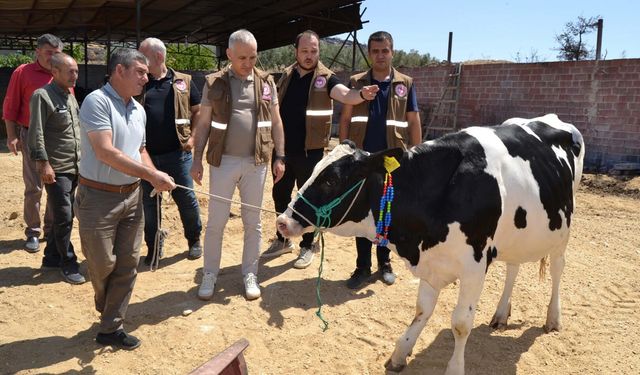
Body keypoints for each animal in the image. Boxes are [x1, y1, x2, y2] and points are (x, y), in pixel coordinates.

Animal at [278, 113, 584, 374]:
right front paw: (400, 353)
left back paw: (553, 319)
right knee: (513, 267)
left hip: (563, 232)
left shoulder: (474, 265)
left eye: (331, 180)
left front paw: (454, 368)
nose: (282, 220)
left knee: (557, 268)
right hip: (517, 234)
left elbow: (461, 324)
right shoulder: (431, 262)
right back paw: (500, 314)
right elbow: (422, 310)